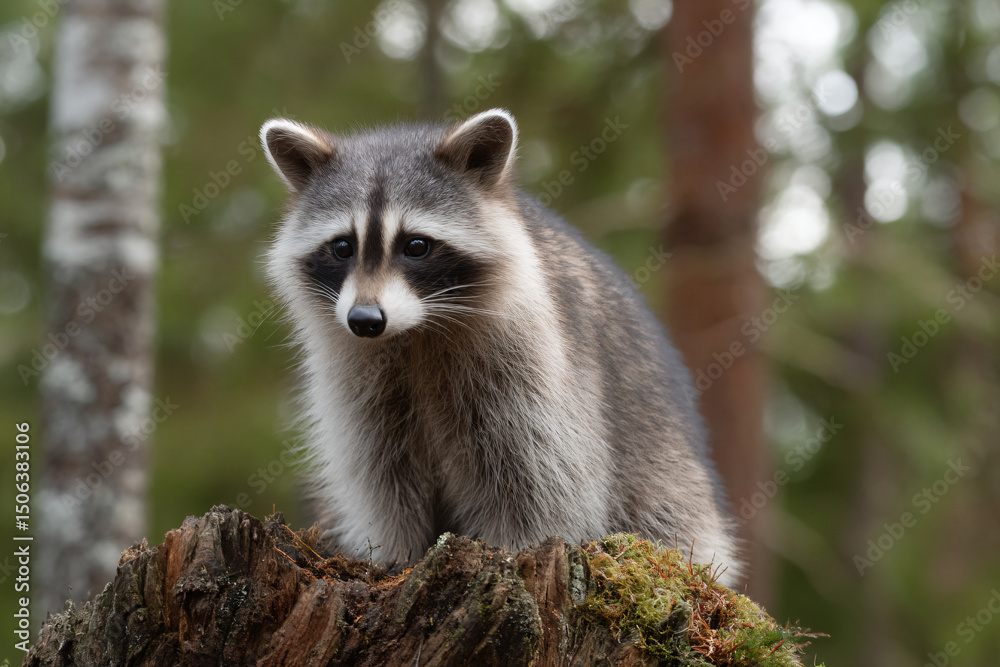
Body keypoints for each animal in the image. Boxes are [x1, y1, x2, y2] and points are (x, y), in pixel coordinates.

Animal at [261, 109, 742, 586]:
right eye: (343, 246)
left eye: (416, 245)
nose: (364, 320)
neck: (415, 331)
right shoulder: (359, 381)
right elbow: (382, 475)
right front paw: (393, 556)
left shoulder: (533, 368)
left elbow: (541, 480)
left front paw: (512, 549)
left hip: (671, 480)